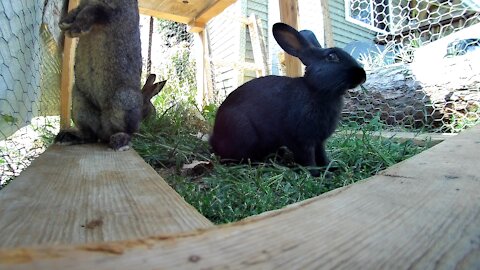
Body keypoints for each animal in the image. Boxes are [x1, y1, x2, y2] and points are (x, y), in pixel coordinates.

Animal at [54, 0, 142, 151]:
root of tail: (104, 132)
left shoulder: (112, 11)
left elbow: (93, 10)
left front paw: (75, 29)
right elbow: (79, 9)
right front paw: (65, 22)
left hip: (124, 99)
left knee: (129, 131)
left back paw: (120, 142)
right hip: (79, 100)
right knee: (90, 135)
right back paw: (68, 137)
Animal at [208, 22, 366, 175]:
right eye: (332, 57)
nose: (362, 75)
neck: (316, 90)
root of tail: (214, 140)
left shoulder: (319, 141)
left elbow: (322, 155)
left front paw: (331, 168)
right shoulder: (303, 140)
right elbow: (309, 158)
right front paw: (318, 174)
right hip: (243, 132)